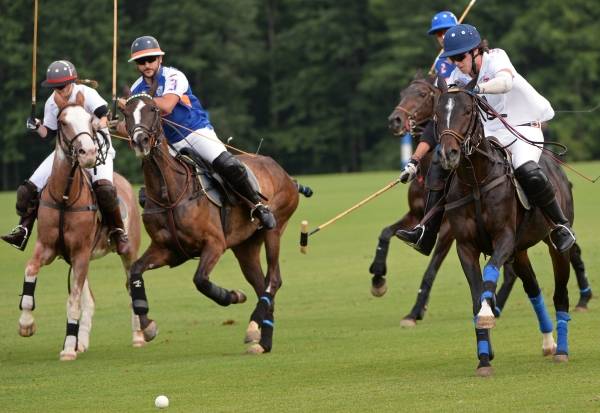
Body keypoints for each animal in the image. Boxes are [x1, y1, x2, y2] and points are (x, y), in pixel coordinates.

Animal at [18, 91, 142, 358]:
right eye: (63, 122)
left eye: (90, 121)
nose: (89, 154)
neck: (65, 197)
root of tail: (125, 182)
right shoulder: (48, 247)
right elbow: (31, 273)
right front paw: (26, 324)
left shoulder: (81, 252)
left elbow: (73, 302)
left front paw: (67, 350)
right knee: (90, 299)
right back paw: (81, 342)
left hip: (126, 251)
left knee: (131, 287)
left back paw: (139, 335)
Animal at [122, 94, 300, 354]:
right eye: (125, 113)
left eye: (153, 109)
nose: (140, 140)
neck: (169, 193)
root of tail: (286, 174)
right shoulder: (167, 250)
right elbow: (135, 271)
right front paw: (147, 325)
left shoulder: (214, 243)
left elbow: (200, 281)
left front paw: (234, 295)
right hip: (245, 246)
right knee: (262, 284)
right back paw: (262, 341)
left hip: (275, 228)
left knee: (273, 280)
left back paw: (254, 327)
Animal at [366, 73, 592, 326]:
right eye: (438, 113)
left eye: (422, 94)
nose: (395, 120)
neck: (476, 180)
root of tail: (558, 171)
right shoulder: (428, 221)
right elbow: (388, 232)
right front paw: (379, 281)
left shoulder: (459, 232)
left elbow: (432, 270)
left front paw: (414, 312)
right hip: (524, 243)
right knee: (520, 271)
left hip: (551, 231)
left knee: (569, 248)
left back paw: (580, 294)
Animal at [436, 79, 572, 374]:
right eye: (437, 114)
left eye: (467, 111)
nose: (448, 154)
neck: (476, 180)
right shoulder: (466, 247)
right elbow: (477, 294)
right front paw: (484, 357)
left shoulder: (504, 238)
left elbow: (489, 274)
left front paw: (488, 315)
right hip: (520, 251)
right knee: (533, 288)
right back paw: (549, 343)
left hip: (553, 245)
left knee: (561, 292)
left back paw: (562, 350)